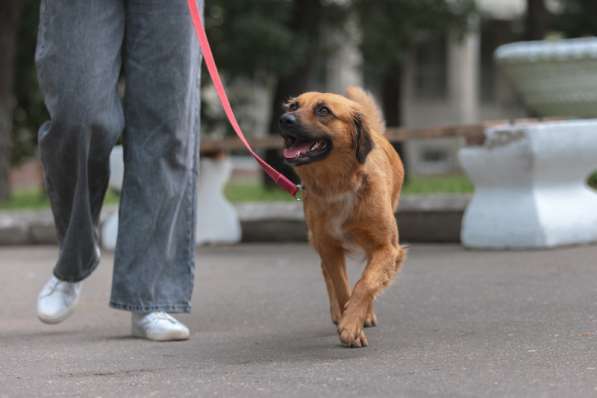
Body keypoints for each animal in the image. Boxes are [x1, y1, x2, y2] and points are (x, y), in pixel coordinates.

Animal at [278, 85, 406, 346]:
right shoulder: (329, 247)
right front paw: (348, 320)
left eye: (323, 110)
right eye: (294, 106)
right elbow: (341, 286)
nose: (284, 119)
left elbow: (366, 283)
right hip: (317, 239)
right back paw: (339, 313)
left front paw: (353, 323)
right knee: (326, 272)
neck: (339, 186)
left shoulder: (387, 248)